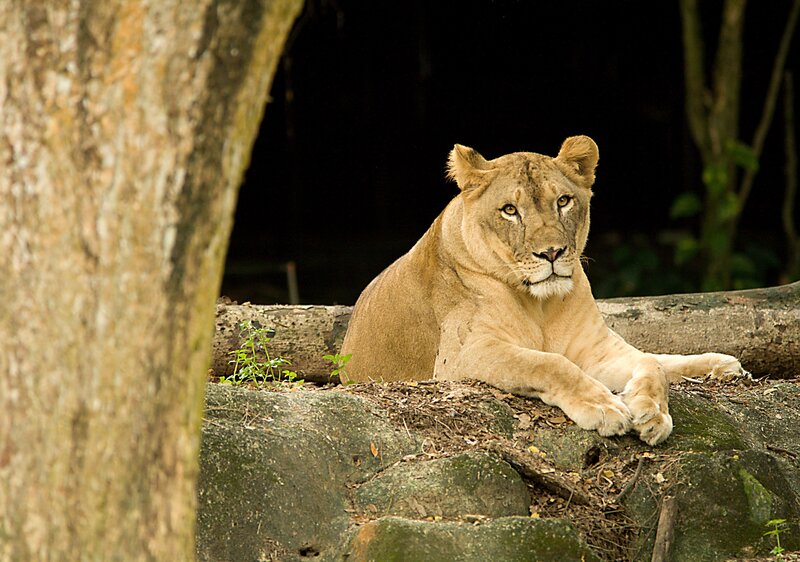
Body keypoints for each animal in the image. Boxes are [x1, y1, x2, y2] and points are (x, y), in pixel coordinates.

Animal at [341, 136, 744, 445]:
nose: (551, 253)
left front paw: (653, 413)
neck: (541, 306)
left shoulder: (595, 350)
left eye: (562, 201)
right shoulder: (461, 357)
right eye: (509, 210)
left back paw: (723, 365)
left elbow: (650, 363)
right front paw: (604, 407)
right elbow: (548, 362)